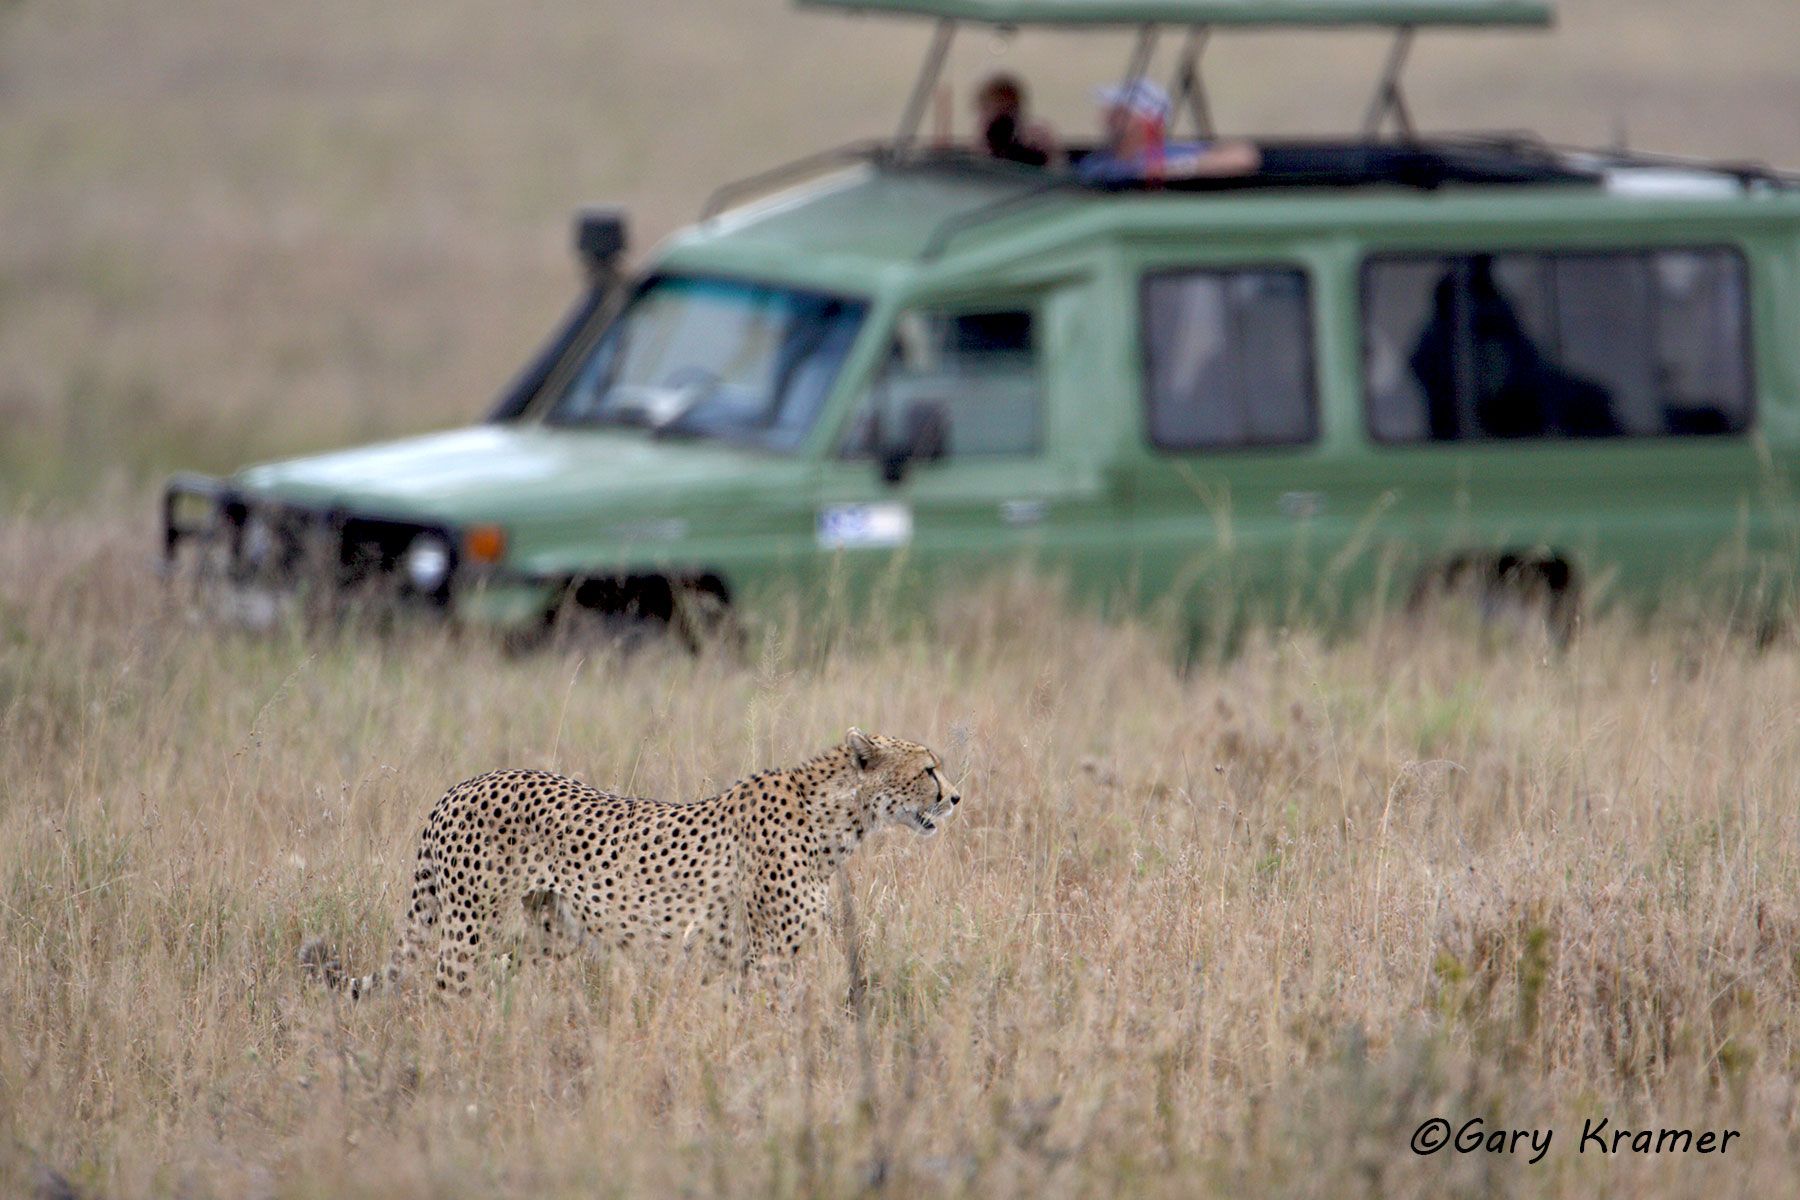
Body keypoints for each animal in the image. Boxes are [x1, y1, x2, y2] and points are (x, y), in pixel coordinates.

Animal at [301, 728, 960, 997]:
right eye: (929, 769)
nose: (956, 797)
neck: (838, 819)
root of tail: (462, 785)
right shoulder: (770, 957)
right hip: (468, 928)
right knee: (444, 994)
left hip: (551, 934)